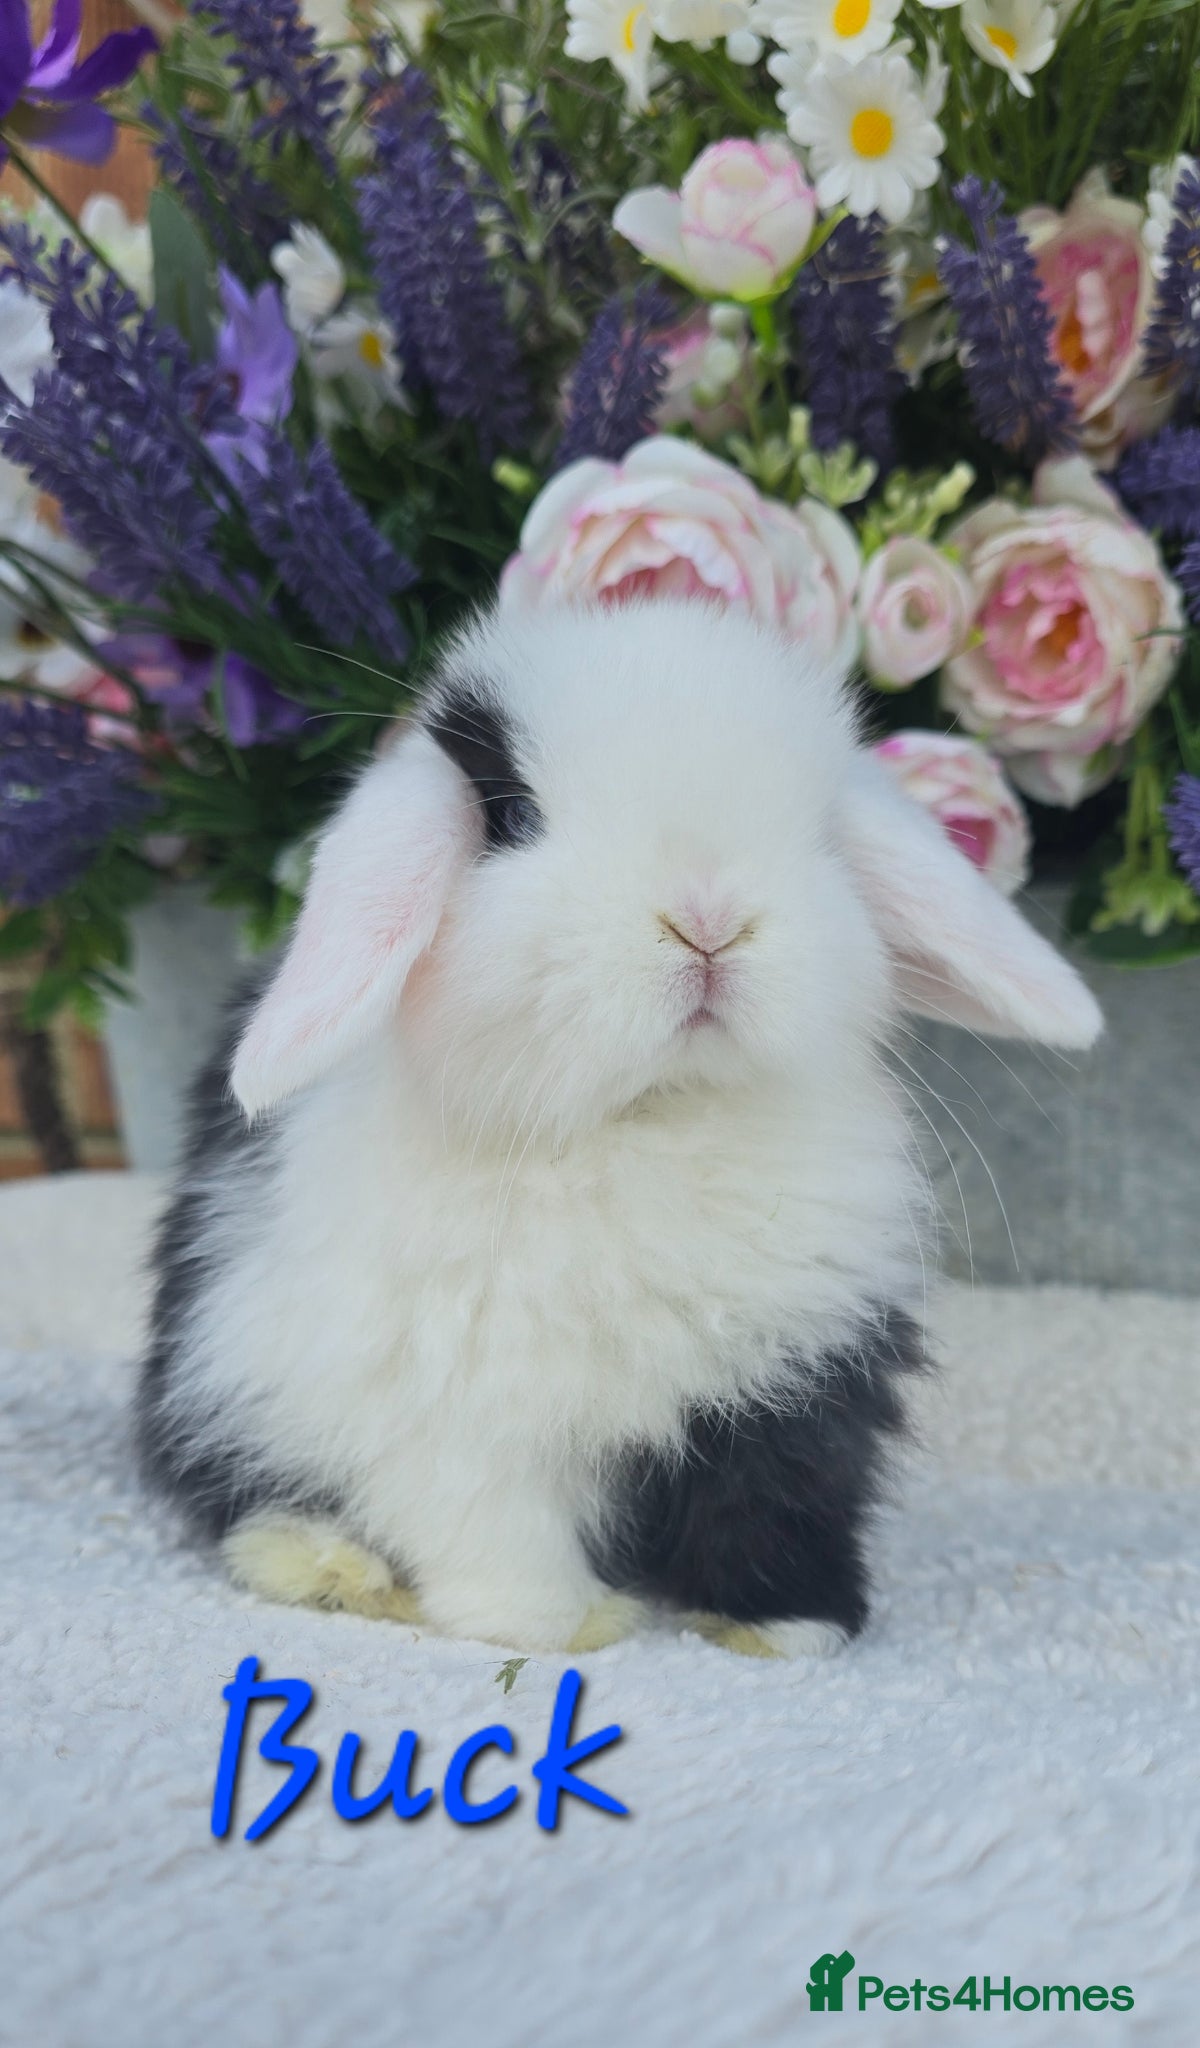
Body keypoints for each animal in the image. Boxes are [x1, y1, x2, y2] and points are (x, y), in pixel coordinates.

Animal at [136, 598, 1102, 1659]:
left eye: (819, 832)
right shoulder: (460, 1408)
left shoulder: (794, 1381)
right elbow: (491, 1522)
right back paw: (327, 1565)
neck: (643, 1117)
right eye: (512, 817)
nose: (708, 917)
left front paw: (788, 1631)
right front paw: (556, 1625)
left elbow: (778, 1498)